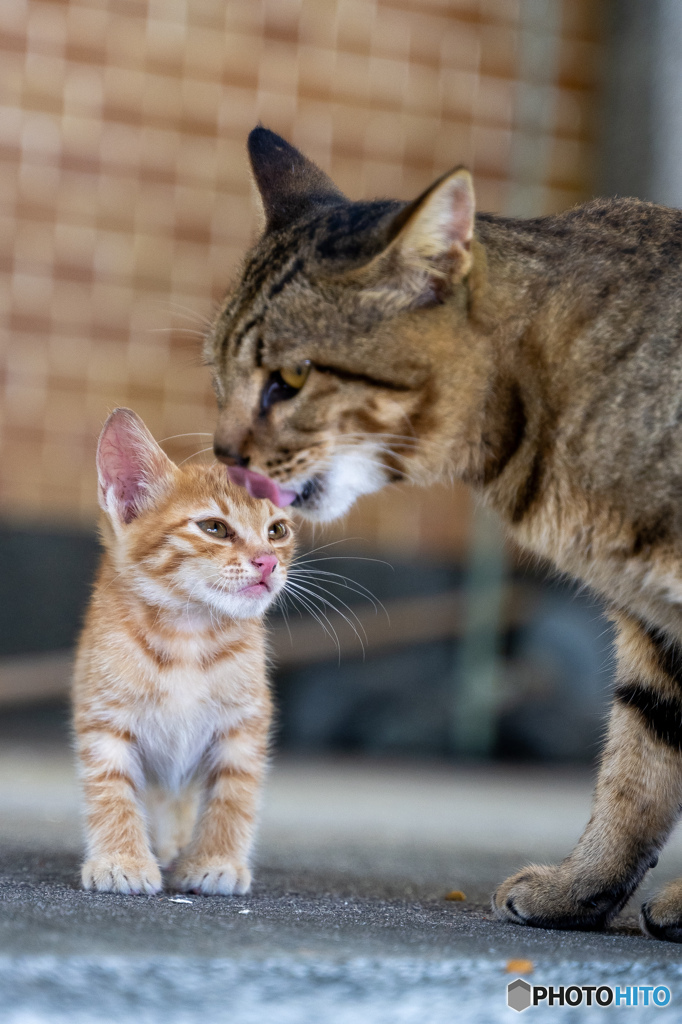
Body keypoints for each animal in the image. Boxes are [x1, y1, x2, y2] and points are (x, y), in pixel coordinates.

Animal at [72, 407, 292, 897]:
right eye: (214, 528)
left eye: (277, 530)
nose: (268, 561)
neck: (187, 636)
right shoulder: (105, 720)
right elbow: (111, 789)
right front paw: (122, 860)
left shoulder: (244, 725)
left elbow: (234, 794)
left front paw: (217, 861)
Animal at [204, 125, 679, 937]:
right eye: (220, 380)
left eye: (290, 381)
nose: (224, 455)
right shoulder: (656, 631)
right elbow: (638, 769)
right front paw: (582, 889)